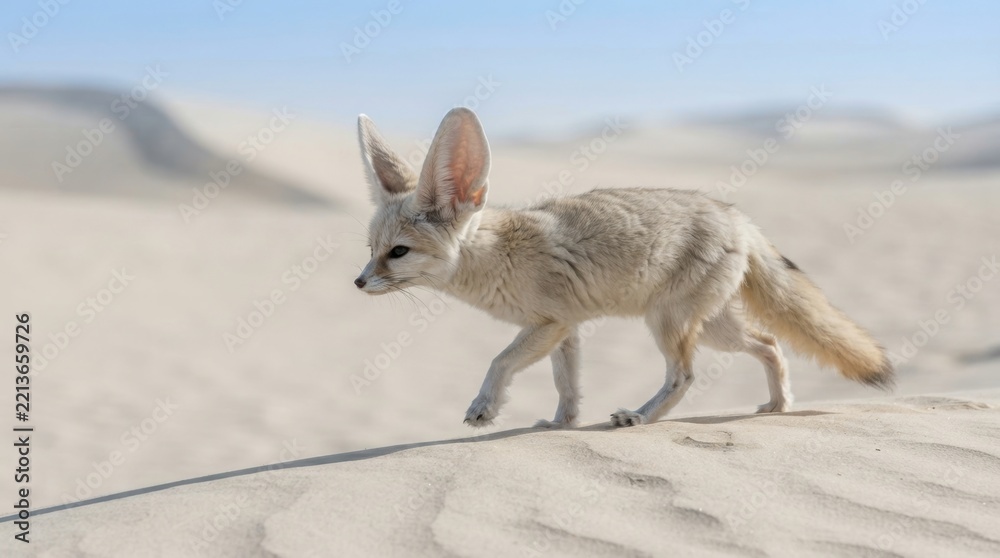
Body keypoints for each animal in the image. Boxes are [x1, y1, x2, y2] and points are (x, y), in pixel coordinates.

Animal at [353, 107, 894, 429]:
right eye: (371, 248)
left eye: (397, 253)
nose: (357, 282)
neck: (497, 254)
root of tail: (737, 217)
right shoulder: (565, 330)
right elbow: (566, 385)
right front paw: (561, 424)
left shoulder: (549, 323)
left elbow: (499, 361)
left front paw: (484, 408)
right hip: (714, 327)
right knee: (771, 344)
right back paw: (779, 405)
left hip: (669, 323)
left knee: (686, 376)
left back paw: (640, 416)